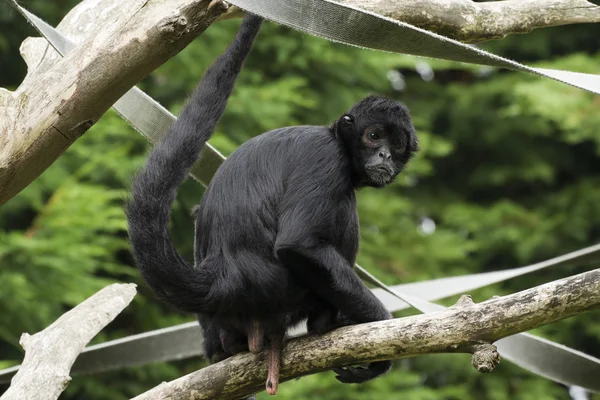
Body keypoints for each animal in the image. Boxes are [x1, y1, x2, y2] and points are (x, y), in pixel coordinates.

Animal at [126, 9, 418, 396]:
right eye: (373, 136)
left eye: (396, 144)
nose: (384, 154)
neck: (335, 138)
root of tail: (226, 277)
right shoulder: (325, 158)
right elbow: (299, 244)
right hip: (280, 289)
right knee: (341, 209)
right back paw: (326, 320)